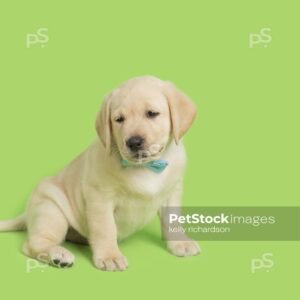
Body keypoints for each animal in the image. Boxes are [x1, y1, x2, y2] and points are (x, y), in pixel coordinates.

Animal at [0, 75, 199, 272]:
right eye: (119, 119)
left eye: (152, 113)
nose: (134, 142)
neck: (145, 166)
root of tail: (28, 213)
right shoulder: (100, 198)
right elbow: (105, 229)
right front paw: (110, 256)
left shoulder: (172, 192)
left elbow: (172, 221)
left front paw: (180, 243)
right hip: (51, 210)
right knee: (33, 243)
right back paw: (58, 255)